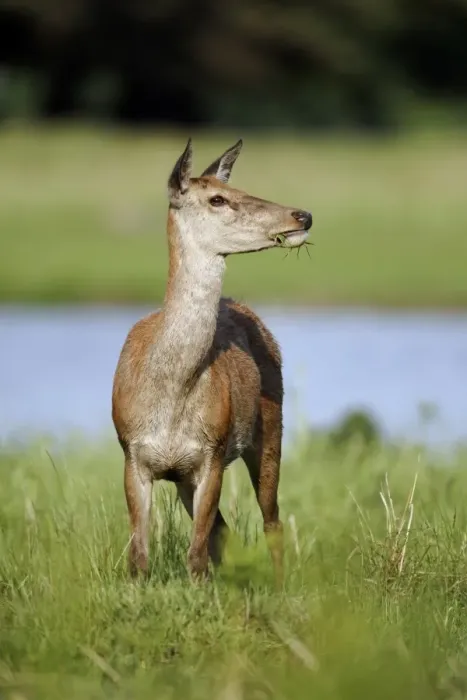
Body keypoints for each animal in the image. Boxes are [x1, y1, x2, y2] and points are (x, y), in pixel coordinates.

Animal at [112, 138, 312, 582]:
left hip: (271, 428)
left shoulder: (213, 452)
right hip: (188, 474)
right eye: (217, 198)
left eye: (239, 188)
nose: (303, 215)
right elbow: (139, 557)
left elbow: (196, 556)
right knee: (226, 529)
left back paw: (280, 584)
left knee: (271, 520)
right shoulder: (133, 454)